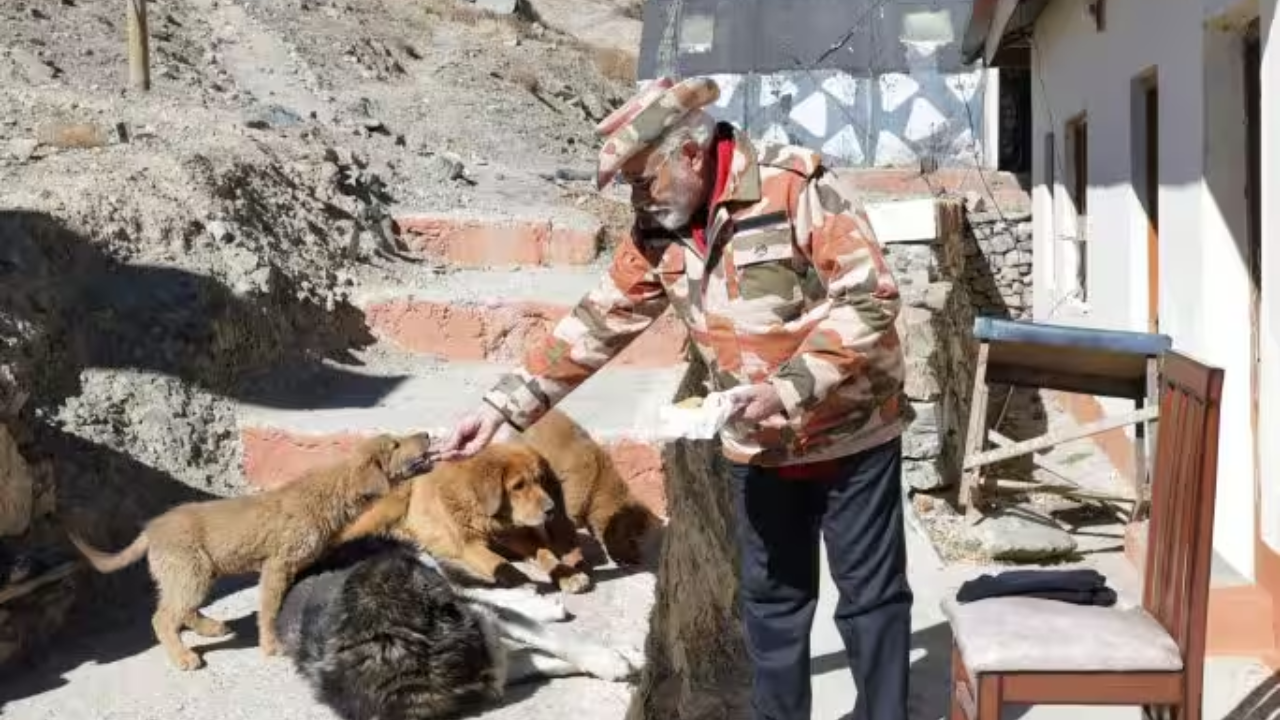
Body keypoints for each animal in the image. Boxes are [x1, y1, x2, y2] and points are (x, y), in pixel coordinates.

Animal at [64, 427, 432, 671]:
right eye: (396, 444)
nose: (427, 434)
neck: (333, 492)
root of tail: (150, 529)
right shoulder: (277, 565)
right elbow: (269, 610)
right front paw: (271, 645)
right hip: (190, 573)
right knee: (163, 617)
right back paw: (183, 656)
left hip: (195, 573)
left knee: (181, 608)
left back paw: (210, 627)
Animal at [276, 532, 645, 717]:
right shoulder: (490, 666)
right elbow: (543, 659)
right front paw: (620, 659)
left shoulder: (480, 618)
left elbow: (555, 640)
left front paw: (610, 657)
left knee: (482, 593)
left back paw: (536, 603)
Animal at [332, 440, 586, 591]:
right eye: (518, 486)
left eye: (540, 480)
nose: (551, 509)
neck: (488, 517)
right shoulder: (469, 545)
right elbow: (499, 562)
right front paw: (522, 582)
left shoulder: (519, 537)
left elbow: (546, 553)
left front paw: (569, 574)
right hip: (395, 502)